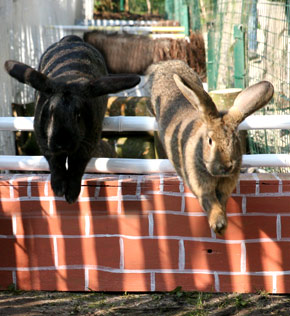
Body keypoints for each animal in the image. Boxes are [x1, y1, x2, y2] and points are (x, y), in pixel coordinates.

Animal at [4, 35, 140, 202]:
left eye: (78, 114)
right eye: (51, 111)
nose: (63, 143)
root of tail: (71, 38)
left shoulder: (88, 144)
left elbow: (76, 166)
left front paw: (71, 196)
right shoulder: (45, 142)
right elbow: (56, 163)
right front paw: (58, 190)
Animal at [147, 60, 274, 235]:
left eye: (235, 139)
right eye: (210, 141)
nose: (227, 166)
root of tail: (168, 63)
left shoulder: (226, 186)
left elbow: (221, 200)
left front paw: (222, 225)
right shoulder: (200, 185)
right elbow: (210, 201)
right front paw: (218, 225)